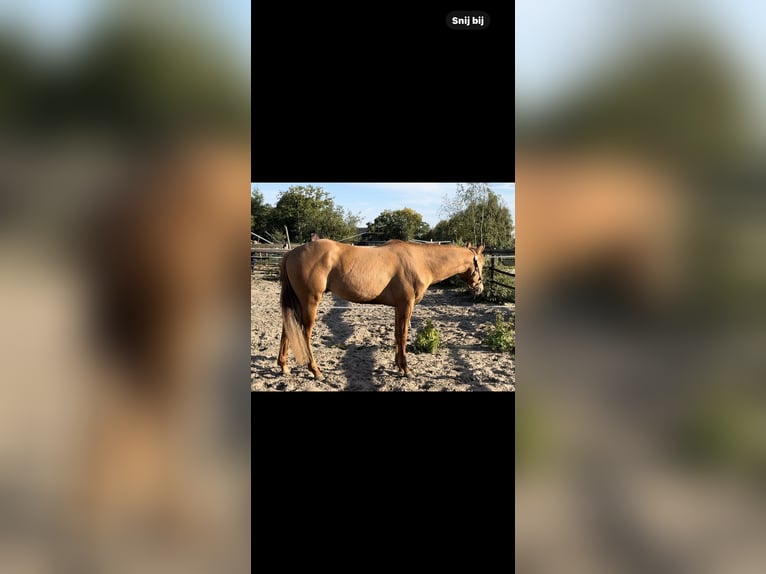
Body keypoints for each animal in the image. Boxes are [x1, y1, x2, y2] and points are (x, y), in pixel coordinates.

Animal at [277, 239, 485, 379]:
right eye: (480, 264)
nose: (480, 289)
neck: (420, 260)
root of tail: (292, 253)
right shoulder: (406, 305)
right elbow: (403, 335)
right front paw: (406, 370)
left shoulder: (398, 307)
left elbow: (397, 334)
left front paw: (398, 366)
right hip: (310, 301)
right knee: (305, 333)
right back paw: (315, 370)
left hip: (297, 302)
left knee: (287, 329)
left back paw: (284, 366)